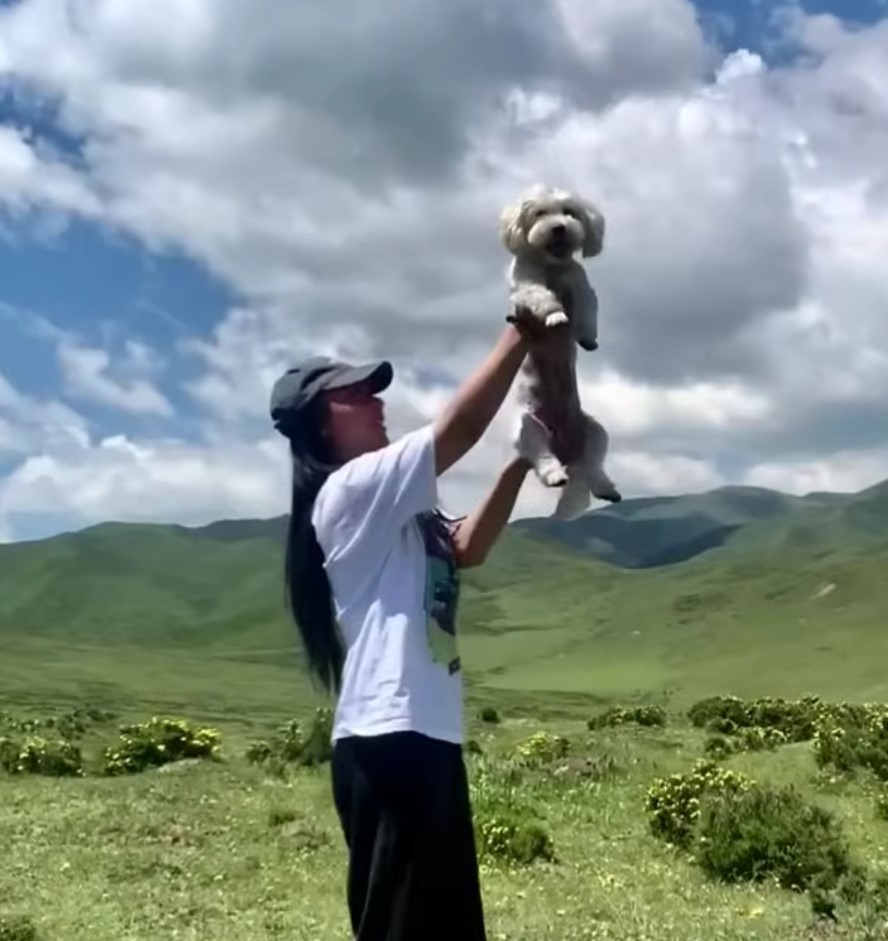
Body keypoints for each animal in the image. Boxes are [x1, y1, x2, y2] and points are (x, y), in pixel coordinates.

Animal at [502, 182, 620, 520]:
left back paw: (607, 487)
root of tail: (567, 452)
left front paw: (587, 337)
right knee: (542, 459)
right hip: (527, 428)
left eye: (570, 213)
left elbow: (588, 307)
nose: (559, 227)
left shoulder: (580, 285)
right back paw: (556, 474)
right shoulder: (527, 285)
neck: (551, 267)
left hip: (595, 431)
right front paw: (556, 316)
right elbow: (542, 296)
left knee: (595, 466)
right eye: (540, 213)